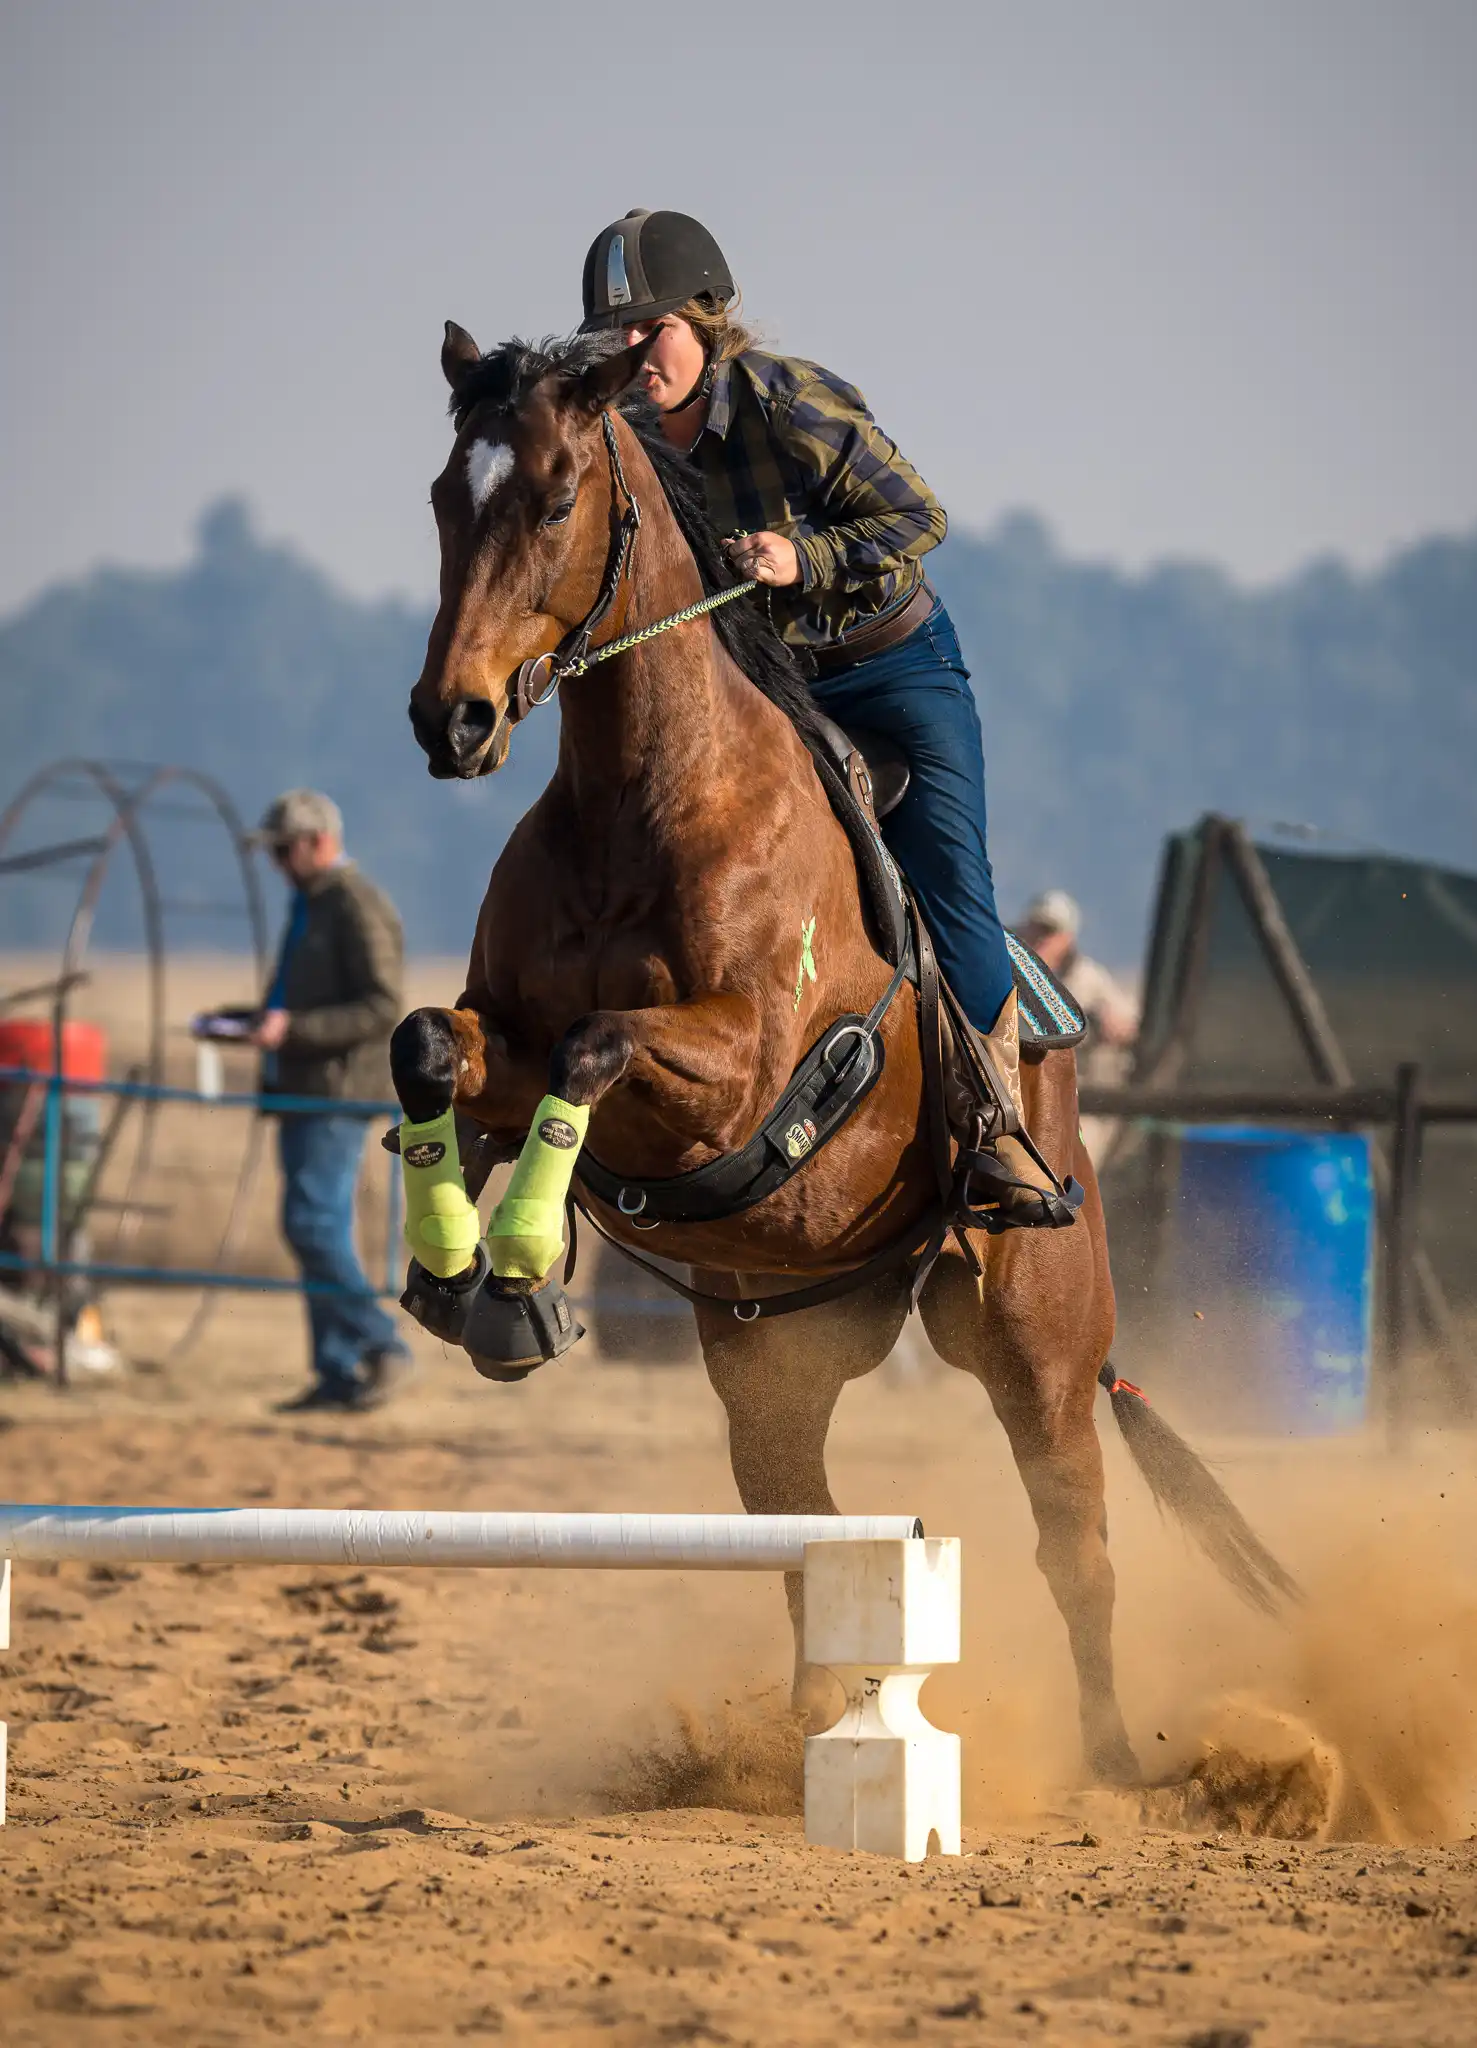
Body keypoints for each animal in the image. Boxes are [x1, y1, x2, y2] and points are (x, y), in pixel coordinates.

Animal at [391, 323, 1295, 1785]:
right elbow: (432, 1045)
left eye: (554, 498)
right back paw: (819, 1723)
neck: (646, 796)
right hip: (773, 1358)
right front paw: (451, 1266)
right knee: (803, 1528)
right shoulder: (497, 1033)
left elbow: (596, 1047)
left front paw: (522, 1271)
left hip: (1036, 1339)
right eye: (439, 499)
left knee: (1077, 1549)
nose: (450, 721)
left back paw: (1113, 1762)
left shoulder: (741, 1071)